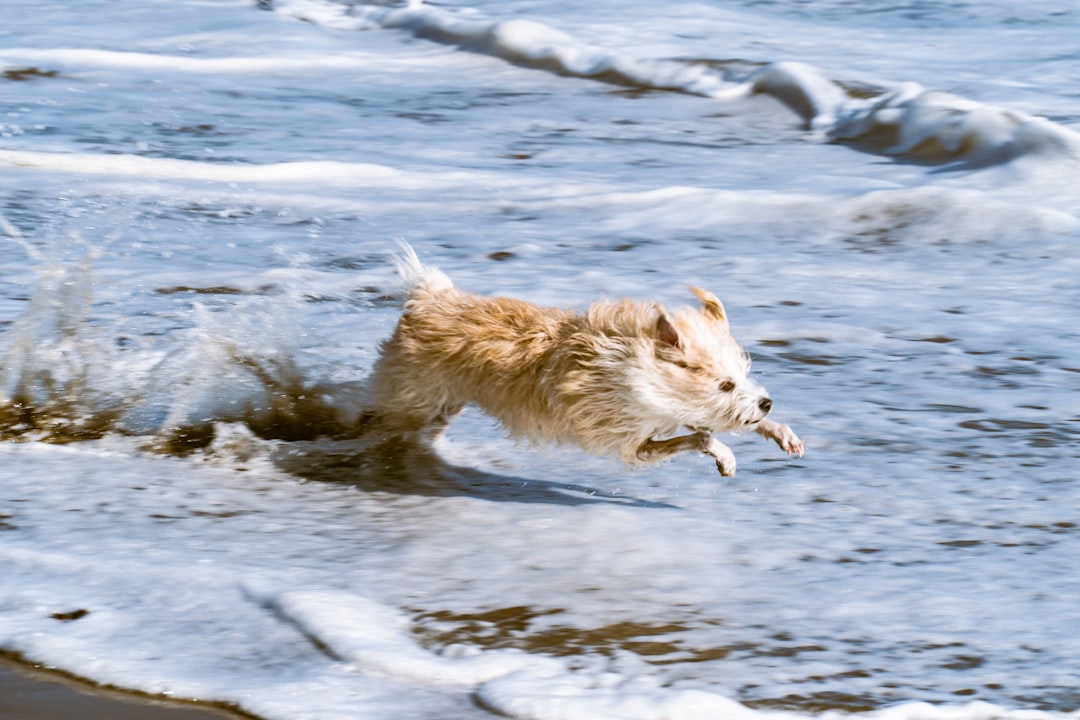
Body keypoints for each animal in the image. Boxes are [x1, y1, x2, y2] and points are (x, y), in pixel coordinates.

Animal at [367, 245, 799, 474]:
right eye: (725, 384)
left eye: (744, 374)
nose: (766, 402)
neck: (633, 365)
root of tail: (430, 298)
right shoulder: (633, 439)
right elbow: (702, 435)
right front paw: (725, 454)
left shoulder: (662, 408)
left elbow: (704, 425)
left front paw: (778, 431)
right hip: (413, 397)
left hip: (442, 402)